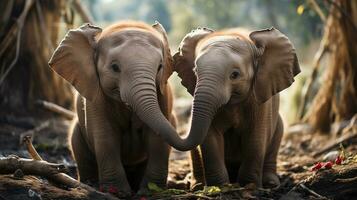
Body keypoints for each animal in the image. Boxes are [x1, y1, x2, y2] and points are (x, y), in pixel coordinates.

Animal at [49, 20, 177, 197]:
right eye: (115, 67)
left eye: (160, 67)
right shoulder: (95, 99)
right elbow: (106, 136)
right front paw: (118, 193)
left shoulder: (163, 94)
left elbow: (157, 140)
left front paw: (149, 193)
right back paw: (91, 184)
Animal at [174, 27, 298, 188]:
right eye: (195, 71)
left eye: (235, 75)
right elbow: (210, 139)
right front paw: (219, 187)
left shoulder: (259, 101)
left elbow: (255, 138)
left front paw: (249, 186)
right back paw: (197, 185)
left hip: (278, 129)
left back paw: (270, 183)